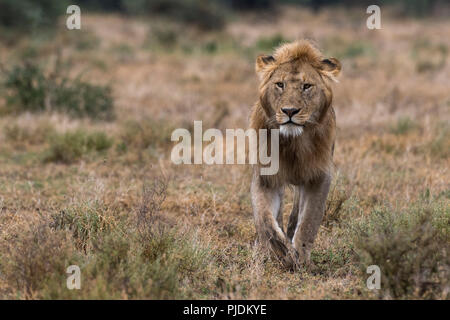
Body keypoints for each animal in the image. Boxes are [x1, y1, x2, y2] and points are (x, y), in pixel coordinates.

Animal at [250, 40, 342, 270]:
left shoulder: (319, 177)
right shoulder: (264, 177)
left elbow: (308, 221)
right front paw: (281, 252)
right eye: (280, 84)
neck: (293, 144)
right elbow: (265, 220)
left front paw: (300, 257)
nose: (290, 111)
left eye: (306, 86)